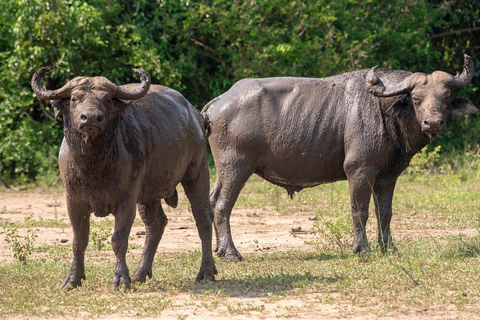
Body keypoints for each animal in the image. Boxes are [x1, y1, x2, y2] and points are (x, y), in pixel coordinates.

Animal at [31, 67, 216, 290]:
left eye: (107, 99)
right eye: (75, 98)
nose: (90, 118)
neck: (93, 164)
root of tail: (197, 116)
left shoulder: (127, 198)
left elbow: (119, 239)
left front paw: (121, 280)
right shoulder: (73, 199)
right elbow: (79, 240)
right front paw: (72, 279)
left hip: (196, 171)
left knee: (203, 217)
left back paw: (207, 272)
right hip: (149, 192)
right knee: (156, 223)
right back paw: (140, 272)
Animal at [202, 53, 476, 262]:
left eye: (446, 97)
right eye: (416, 98)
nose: (434, 123)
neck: (384, 110)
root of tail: (218, 102)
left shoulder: (388, 176)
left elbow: (385, 212)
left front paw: (389, 248)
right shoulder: (359, 169)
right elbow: (360, 210)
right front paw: (362, 249)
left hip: (225, 169)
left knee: (212, 199)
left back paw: (218, 249)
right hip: (236, 166)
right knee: (222, 204)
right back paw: (231, 253)